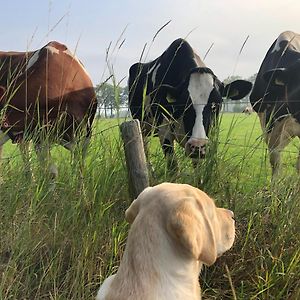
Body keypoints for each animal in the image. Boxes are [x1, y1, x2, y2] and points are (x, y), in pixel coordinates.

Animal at [127, 38, 252, 168]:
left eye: (216, 104)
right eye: (183, 104)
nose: (198, 145)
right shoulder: (164, 132)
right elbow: (173, 166)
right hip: (141, 125)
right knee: (144, 148)